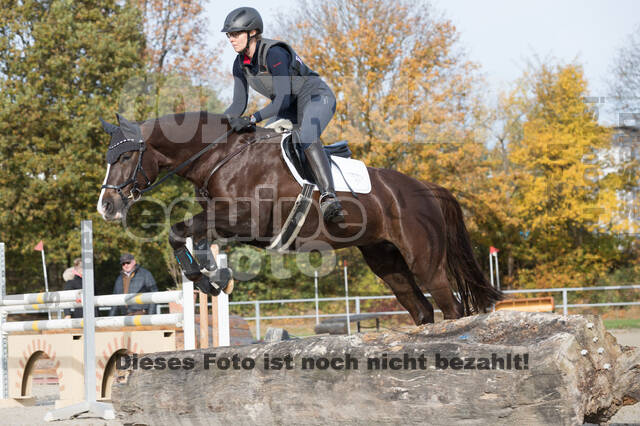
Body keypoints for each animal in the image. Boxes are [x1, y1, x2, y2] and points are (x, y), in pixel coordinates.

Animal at [97, 111, 502, 324]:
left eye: (125, 157)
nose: (106, 206)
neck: (221, 157)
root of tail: (427, 189)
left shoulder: (245, 220)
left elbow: (178, 228)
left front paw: (206, 278)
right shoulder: (231, 224)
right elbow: (193, 233)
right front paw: (212, 276)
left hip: (425, 261)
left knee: (451, 306)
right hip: (386, 261)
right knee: (420, 307)